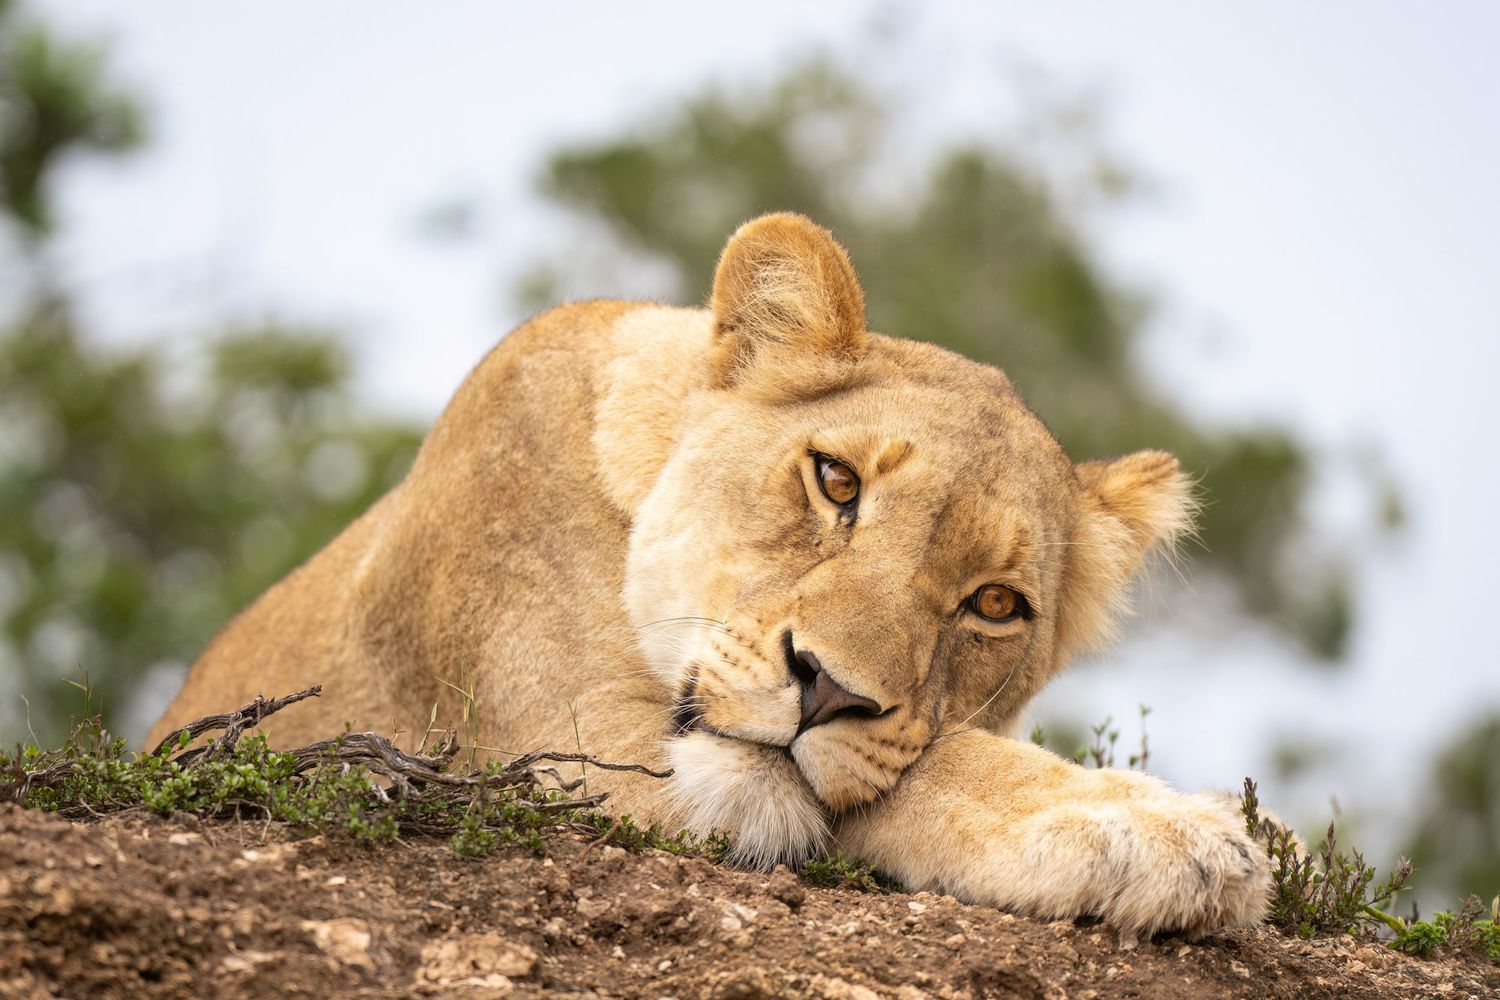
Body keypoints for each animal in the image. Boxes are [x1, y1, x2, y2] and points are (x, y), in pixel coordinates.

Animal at [148, 212, 1269, 938]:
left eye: (995, 603)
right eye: (835, 479)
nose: (830, 690)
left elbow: (909, 757)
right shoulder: (572, 751)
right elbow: (925, 767)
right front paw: (1163, 831)